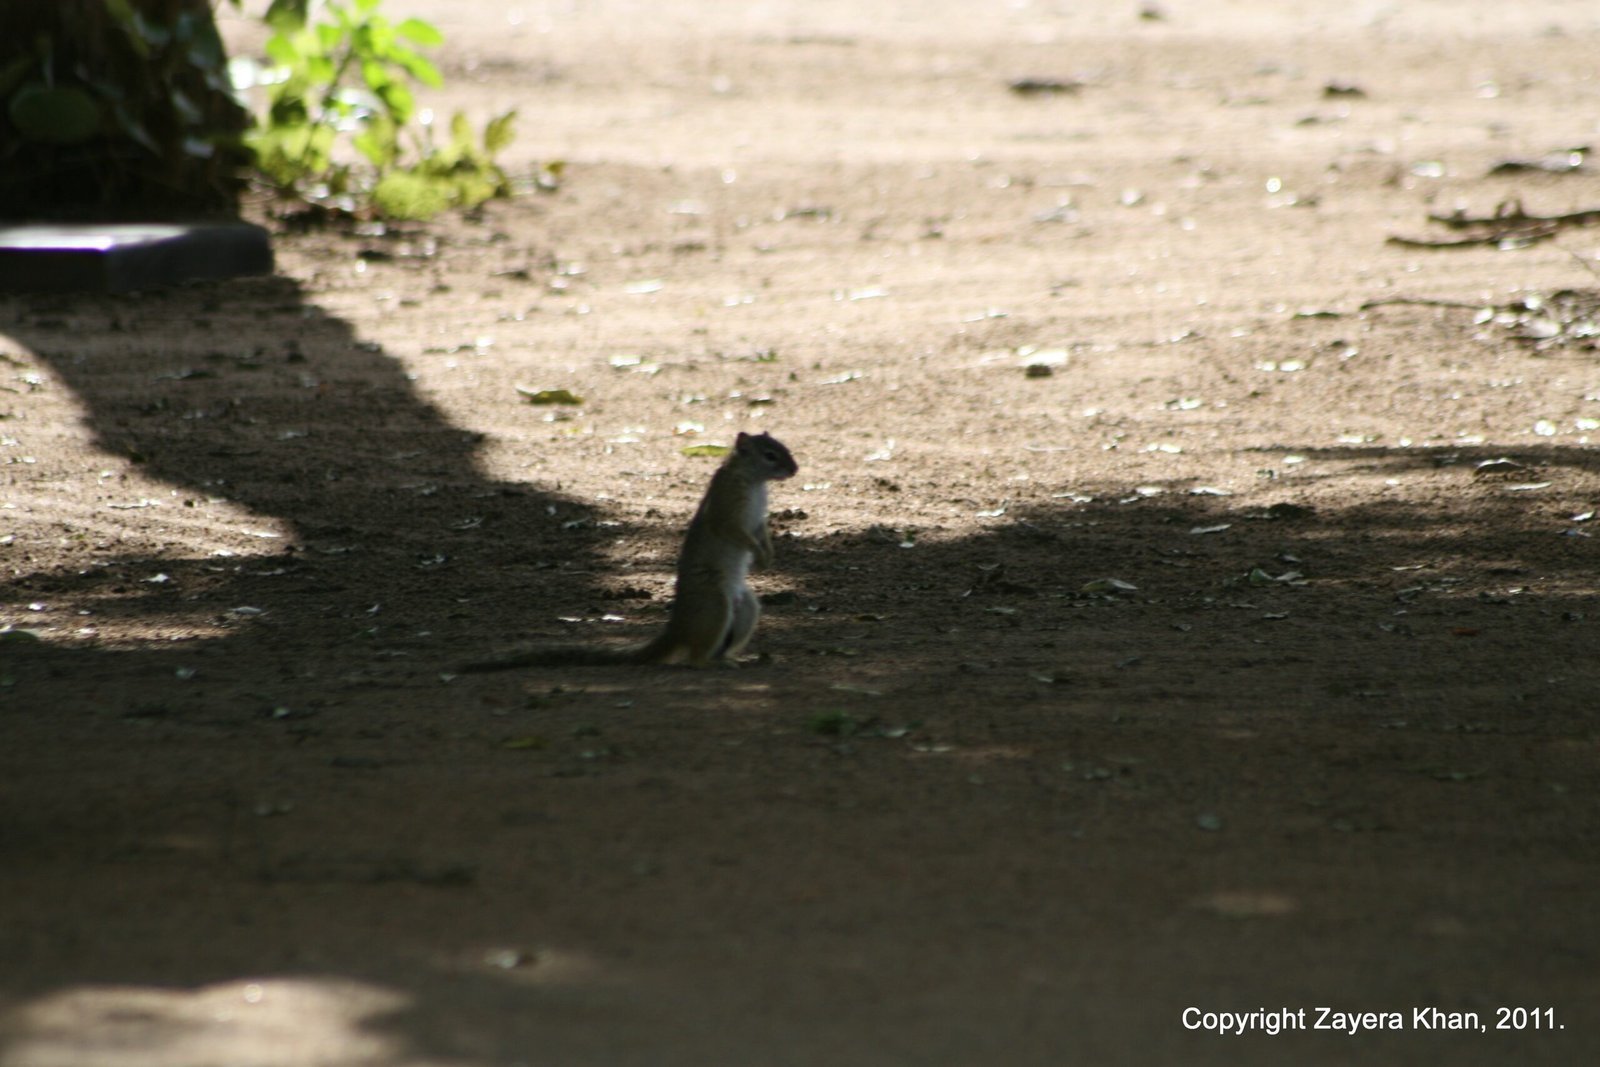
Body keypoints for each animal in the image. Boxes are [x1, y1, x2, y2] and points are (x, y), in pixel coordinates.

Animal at [460, 431, 798, 670]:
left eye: (784, 447)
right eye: (770, 455)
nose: (795, 469)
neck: (753, 482)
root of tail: (677, 628)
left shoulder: (758, 519)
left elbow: (761, 533)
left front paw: (767, 557)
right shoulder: (726, 510)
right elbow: (734, 531)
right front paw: (759, 554)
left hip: (747, 607)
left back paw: (734, 658)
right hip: (714, 603)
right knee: (694, 656)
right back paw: (712, 663)